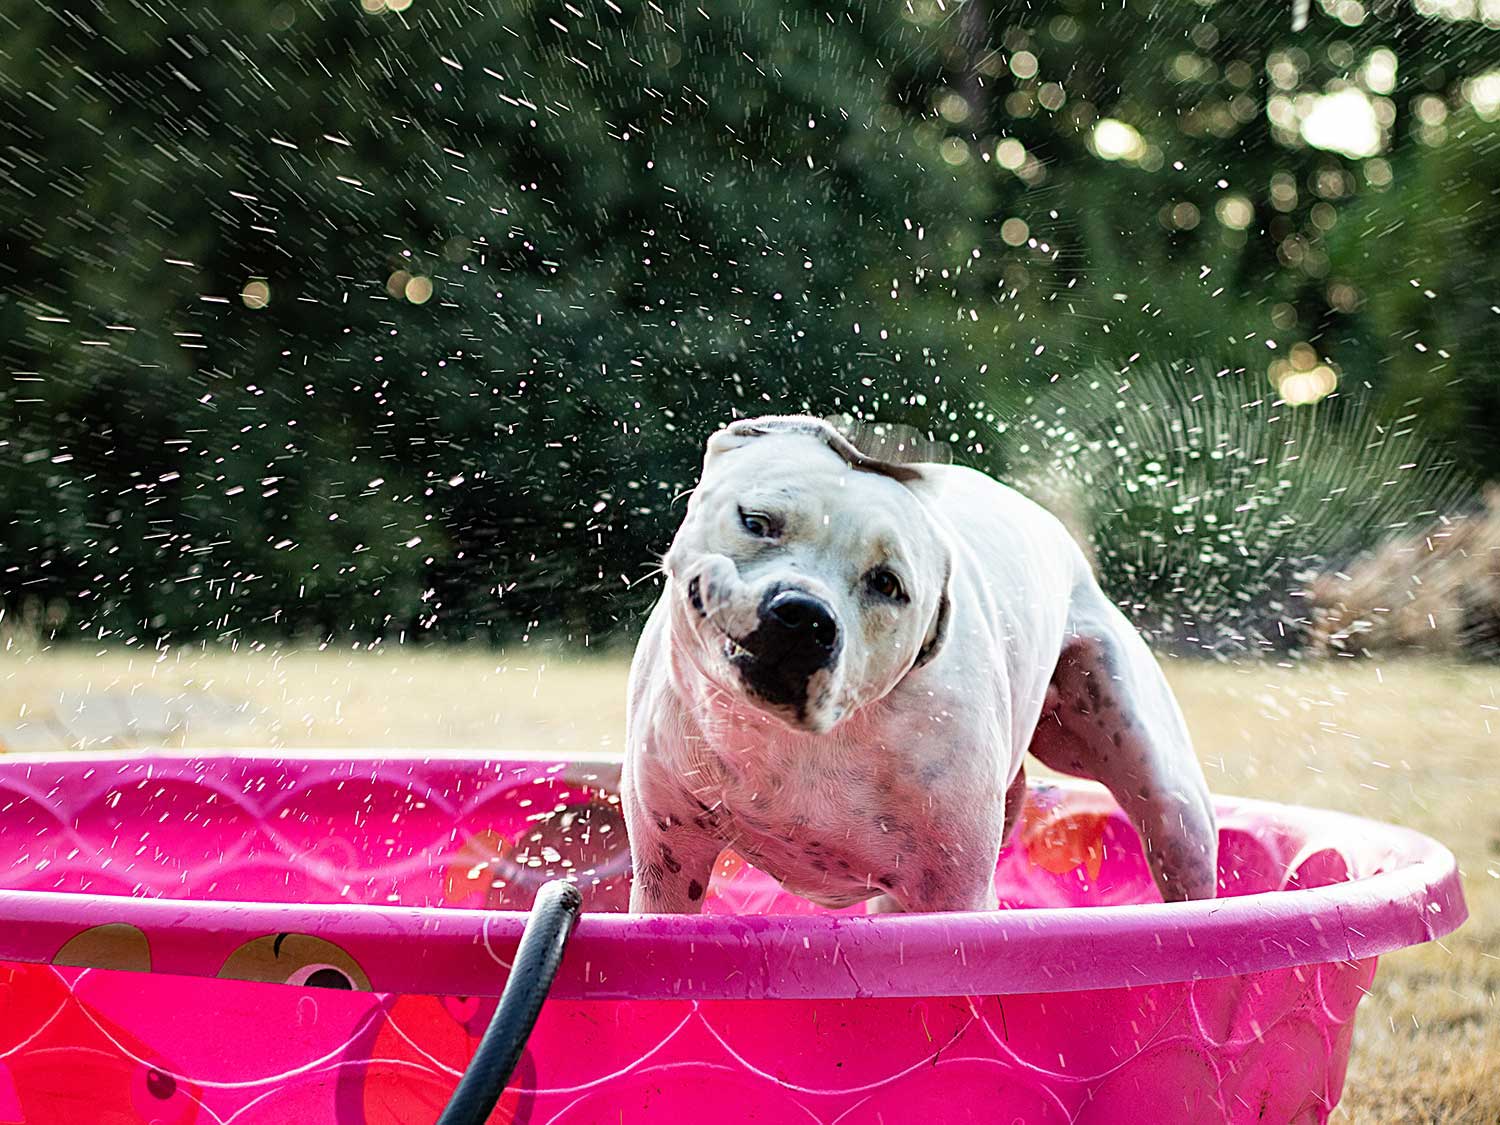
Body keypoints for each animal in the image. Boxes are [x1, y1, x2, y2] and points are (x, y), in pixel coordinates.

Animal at [621, 417, 1218, 918]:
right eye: (756, 521)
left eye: (888, 583)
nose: (804, 615)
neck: (786, 741)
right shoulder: (667, 866)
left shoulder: (949, 892)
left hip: (1162, 788)